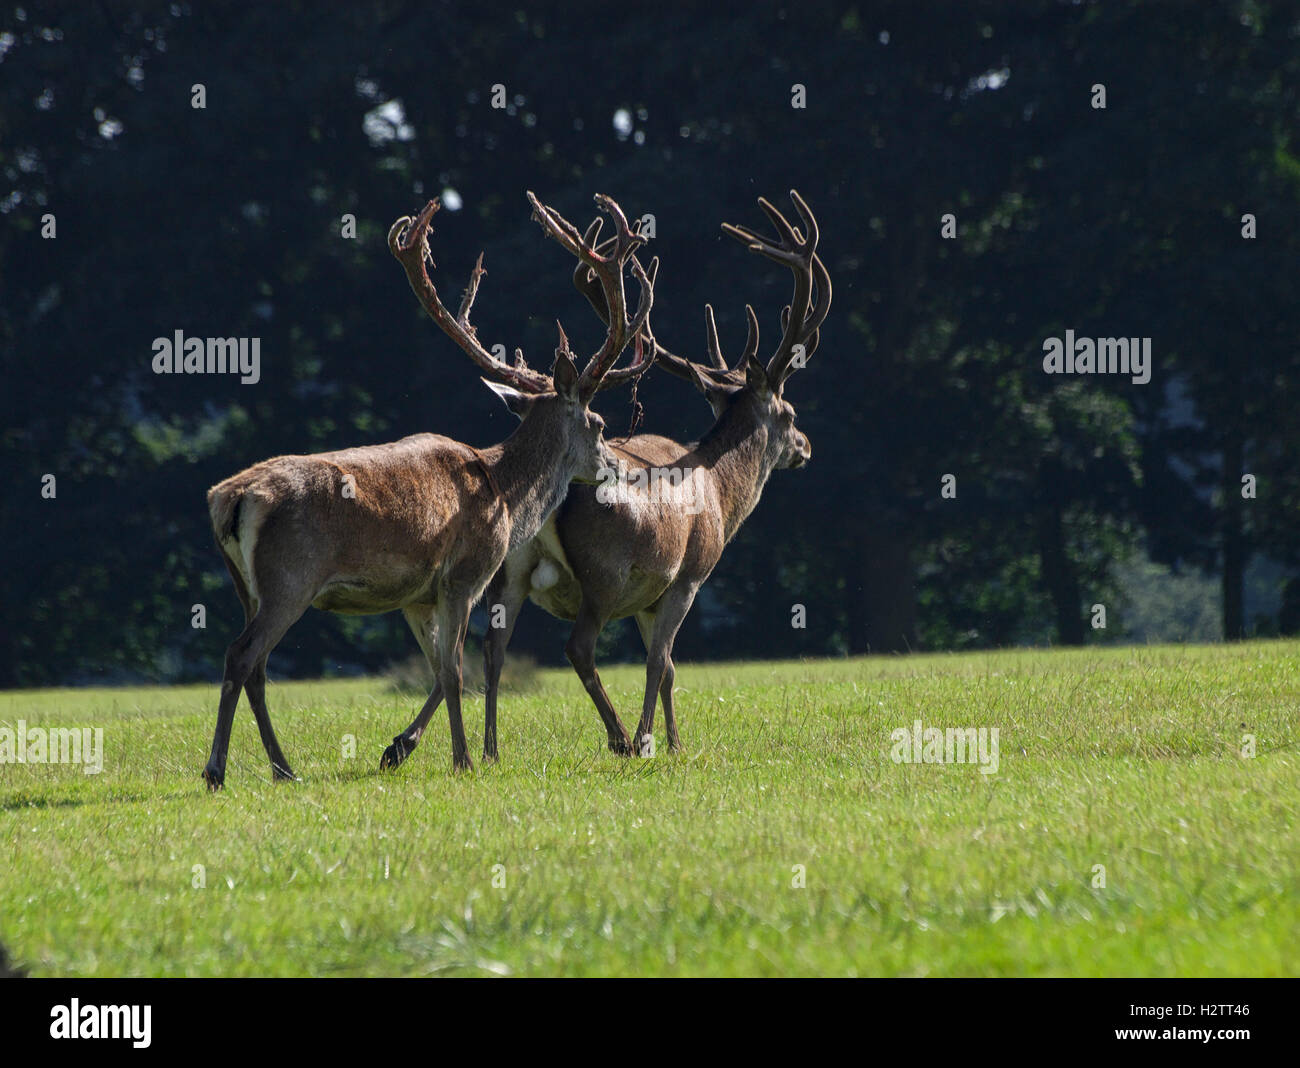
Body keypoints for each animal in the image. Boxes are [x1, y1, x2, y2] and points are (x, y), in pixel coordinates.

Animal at [201, 190, 653, 788]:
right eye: (599, 424)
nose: (619, 469)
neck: (506, 497)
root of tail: (229, 498)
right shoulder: (465, 573)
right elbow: (456, 669)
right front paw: (463, 760)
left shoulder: (416, 593)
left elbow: (438, 670)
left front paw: (398, 749)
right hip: (289, 577)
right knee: (241, 654)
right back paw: (218, 769)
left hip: (245, 585)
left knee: (256, 665)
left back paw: (283, 768)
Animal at [376, 190, 829, 770]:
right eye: (790, 414)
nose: (806, 448)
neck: (721, 494)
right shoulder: (686, 575)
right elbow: (661, 663)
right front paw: (654, 739)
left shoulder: (648, 596)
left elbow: (669, 669)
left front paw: (674, 740)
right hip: (605, 572)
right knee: (577, 647)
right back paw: (617, 738)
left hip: (510, 570)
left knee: (486, 649)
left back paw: (476, 748)